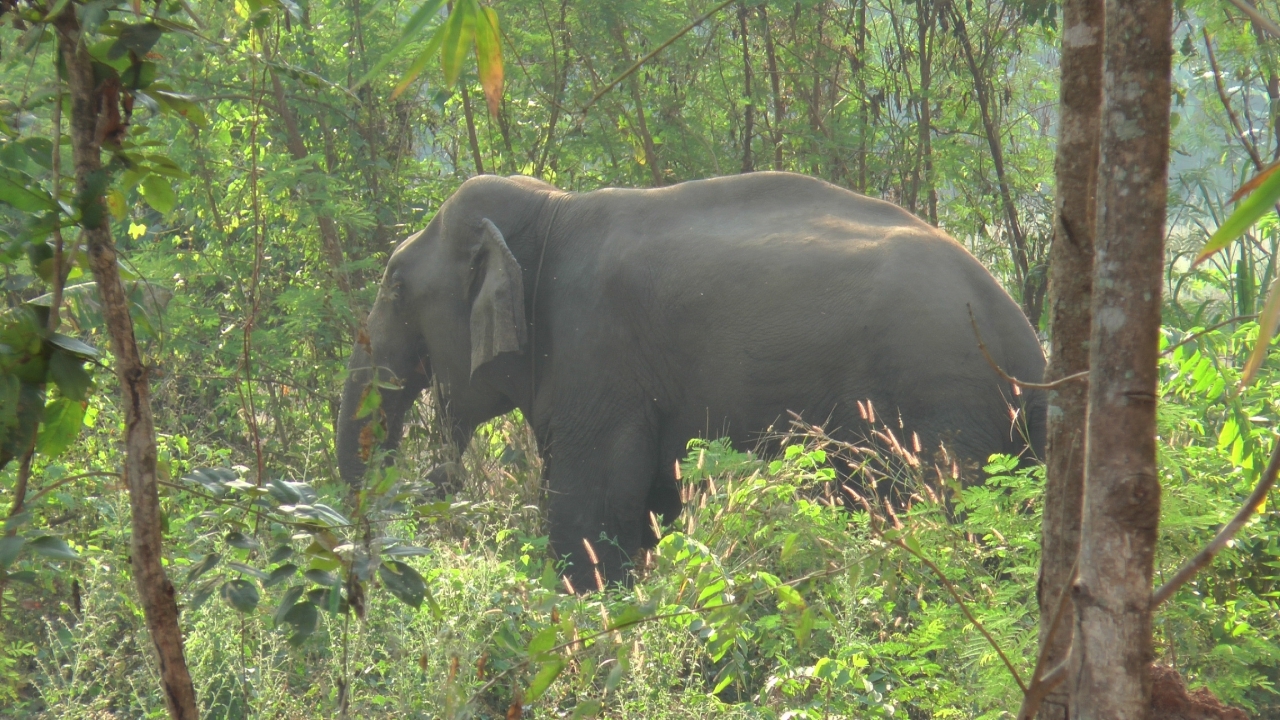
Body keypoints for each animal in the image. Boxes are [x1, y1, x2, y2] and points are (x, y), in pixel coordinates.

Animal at [335, 169, 1044, 589]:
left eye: (394, 288)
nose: (439, 475)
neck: (550, 211)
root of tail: (1023, 340)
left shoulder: (598, 352)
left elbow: (592, 512)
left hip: (942, 404)